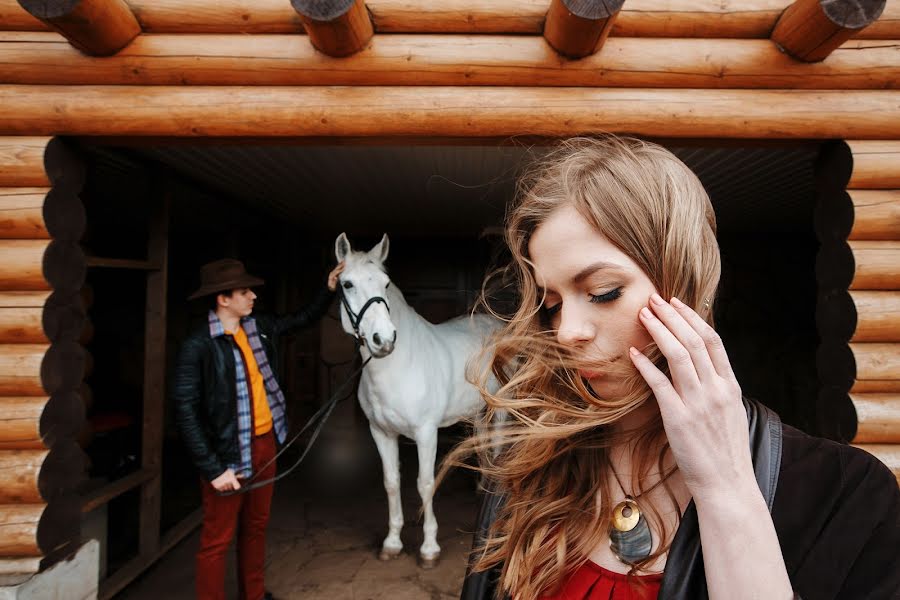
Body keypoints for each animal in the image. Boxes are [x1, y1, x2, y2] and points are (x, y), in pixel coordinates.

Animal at [334, 233, 500, 568]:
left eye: (385, 283)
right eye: (347, 284)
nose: (383, 339)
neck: (398, 367)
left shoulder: (426, 432)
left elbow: (425, 483)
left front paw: (429, 549)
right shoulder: (381, 432)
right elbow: (391, 482)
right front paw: (392, 543)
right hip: (478, 411)